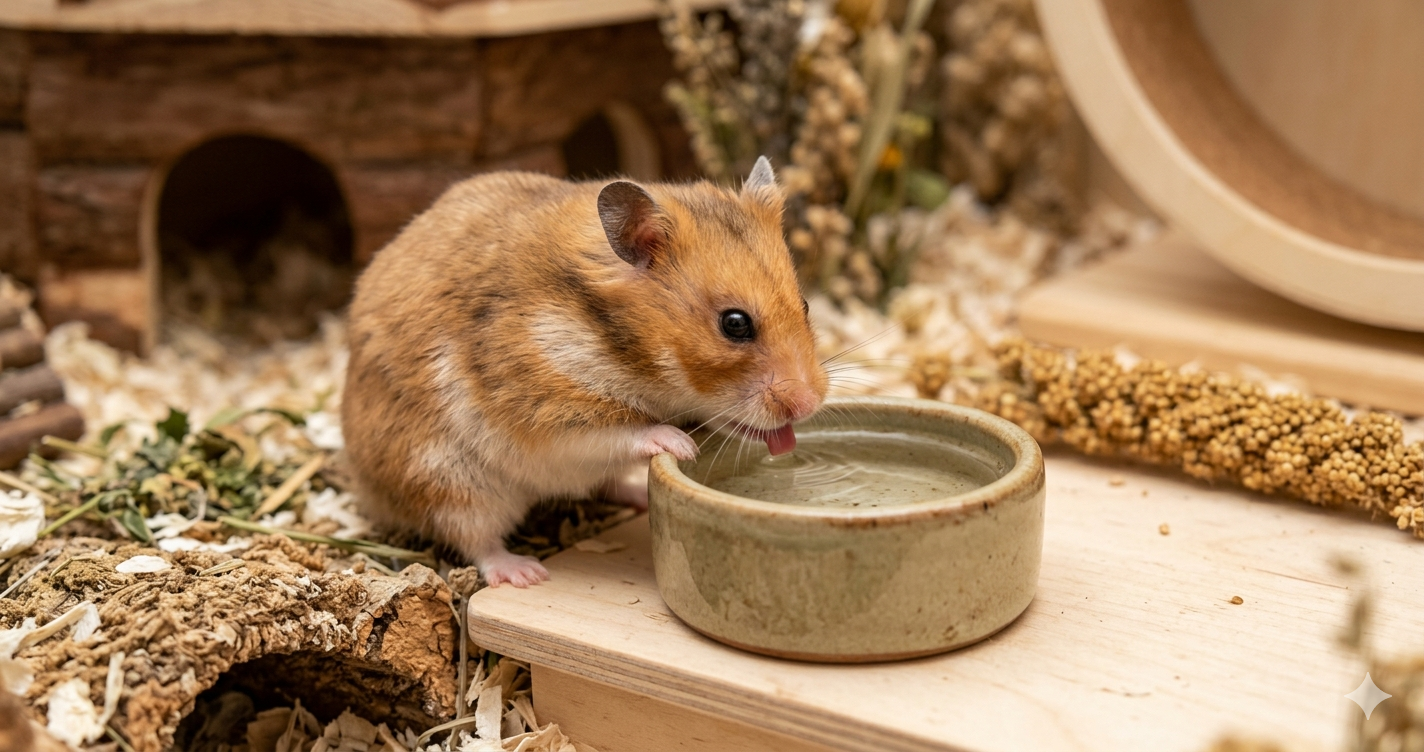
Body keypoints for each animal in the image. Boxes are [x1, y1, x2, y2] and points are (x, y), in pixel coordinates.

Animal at [341, 157, 828, 587]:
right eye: (735, 324)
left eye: (805, 305)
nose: (809, 405)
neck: (626, 352)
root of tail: (366, 486)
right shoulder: (547, 409)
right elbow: (624, 431)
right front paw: (682, 445)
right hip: (448, 479)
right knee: (476, 538)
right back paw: (525, 574)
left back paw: (636, 499)